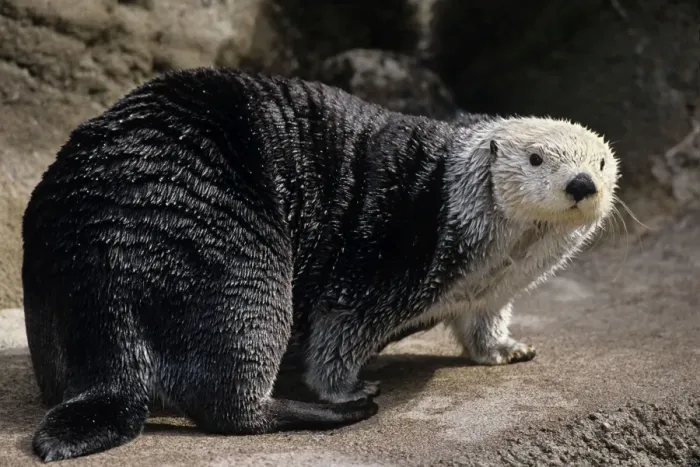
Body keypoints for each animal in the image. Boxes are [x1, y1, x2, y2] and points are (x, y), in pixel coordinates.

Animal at [21, 67, 619, 462]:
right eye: (537, 158)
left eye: (601, 162)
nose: (581, 184)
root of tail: (116, 260)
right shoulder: (385, 254)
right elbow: (340, 332)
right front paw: (349, 388)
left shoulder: (487, 294)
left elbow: (483, 323)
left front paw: (508, 349)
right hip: (240, 264)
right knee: (228, 406)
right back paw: (336, 411)